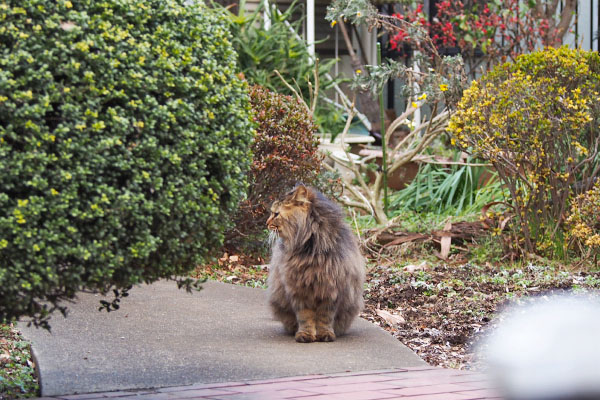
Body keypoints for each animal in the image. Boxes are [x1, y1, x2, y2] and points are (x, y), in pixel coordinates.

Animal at [268, 186, 366, 342]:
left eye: (276, 214)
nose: (266, 223)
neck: (311, 249)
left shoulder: (331, 291)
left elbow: (325, 318)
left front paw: (325, 334)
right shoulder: (298, 290)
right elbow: (305, 317)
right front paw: (306, 335)